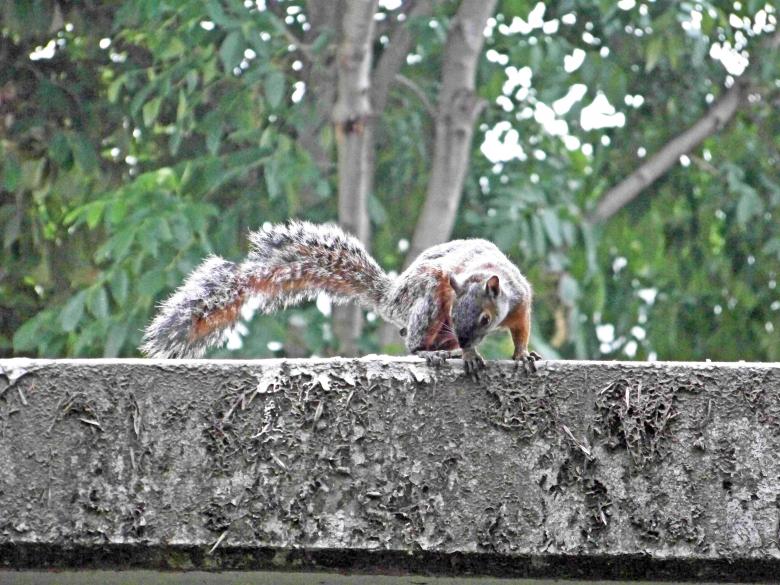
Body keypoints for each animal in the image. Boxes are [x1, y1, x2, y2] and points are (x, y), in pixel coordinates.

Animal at [140, 220, 541, 374]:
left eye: (485, 318)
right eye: (458, 314)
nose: (464, 338)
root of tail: (392, 297)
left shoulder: (520, 302)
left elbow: (521, 329)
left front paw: (523, 354)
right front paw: (471, 355)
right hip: (428, 295)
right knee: (414, 339)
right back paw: (436, 352)